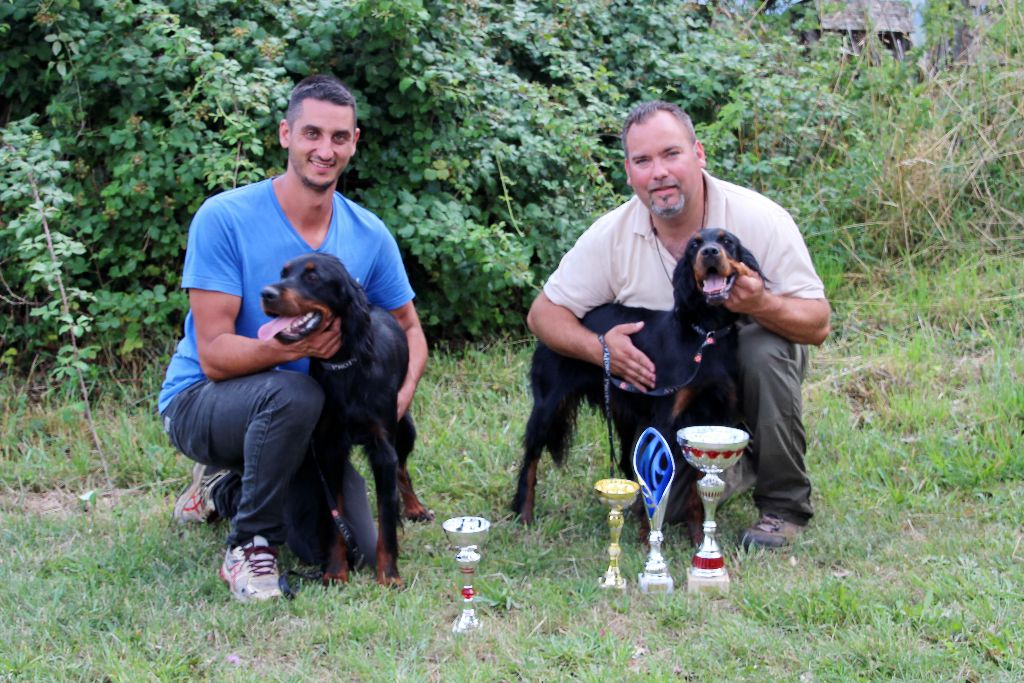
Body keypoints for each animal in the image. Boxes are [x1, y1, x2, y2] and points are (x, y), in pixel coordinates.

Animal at [260, 252, 432, 589]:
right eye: (283, 273)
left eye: (313, 277)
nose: (267, 293)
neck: (344, 366)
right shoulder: (329, 448)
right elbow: (334, 516)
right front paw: (335, 571)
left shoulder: (382, 448)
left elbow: (386, 516)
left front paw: (389, 576)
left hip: (405, 427)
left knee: (403, 470)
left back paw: (415, 507)